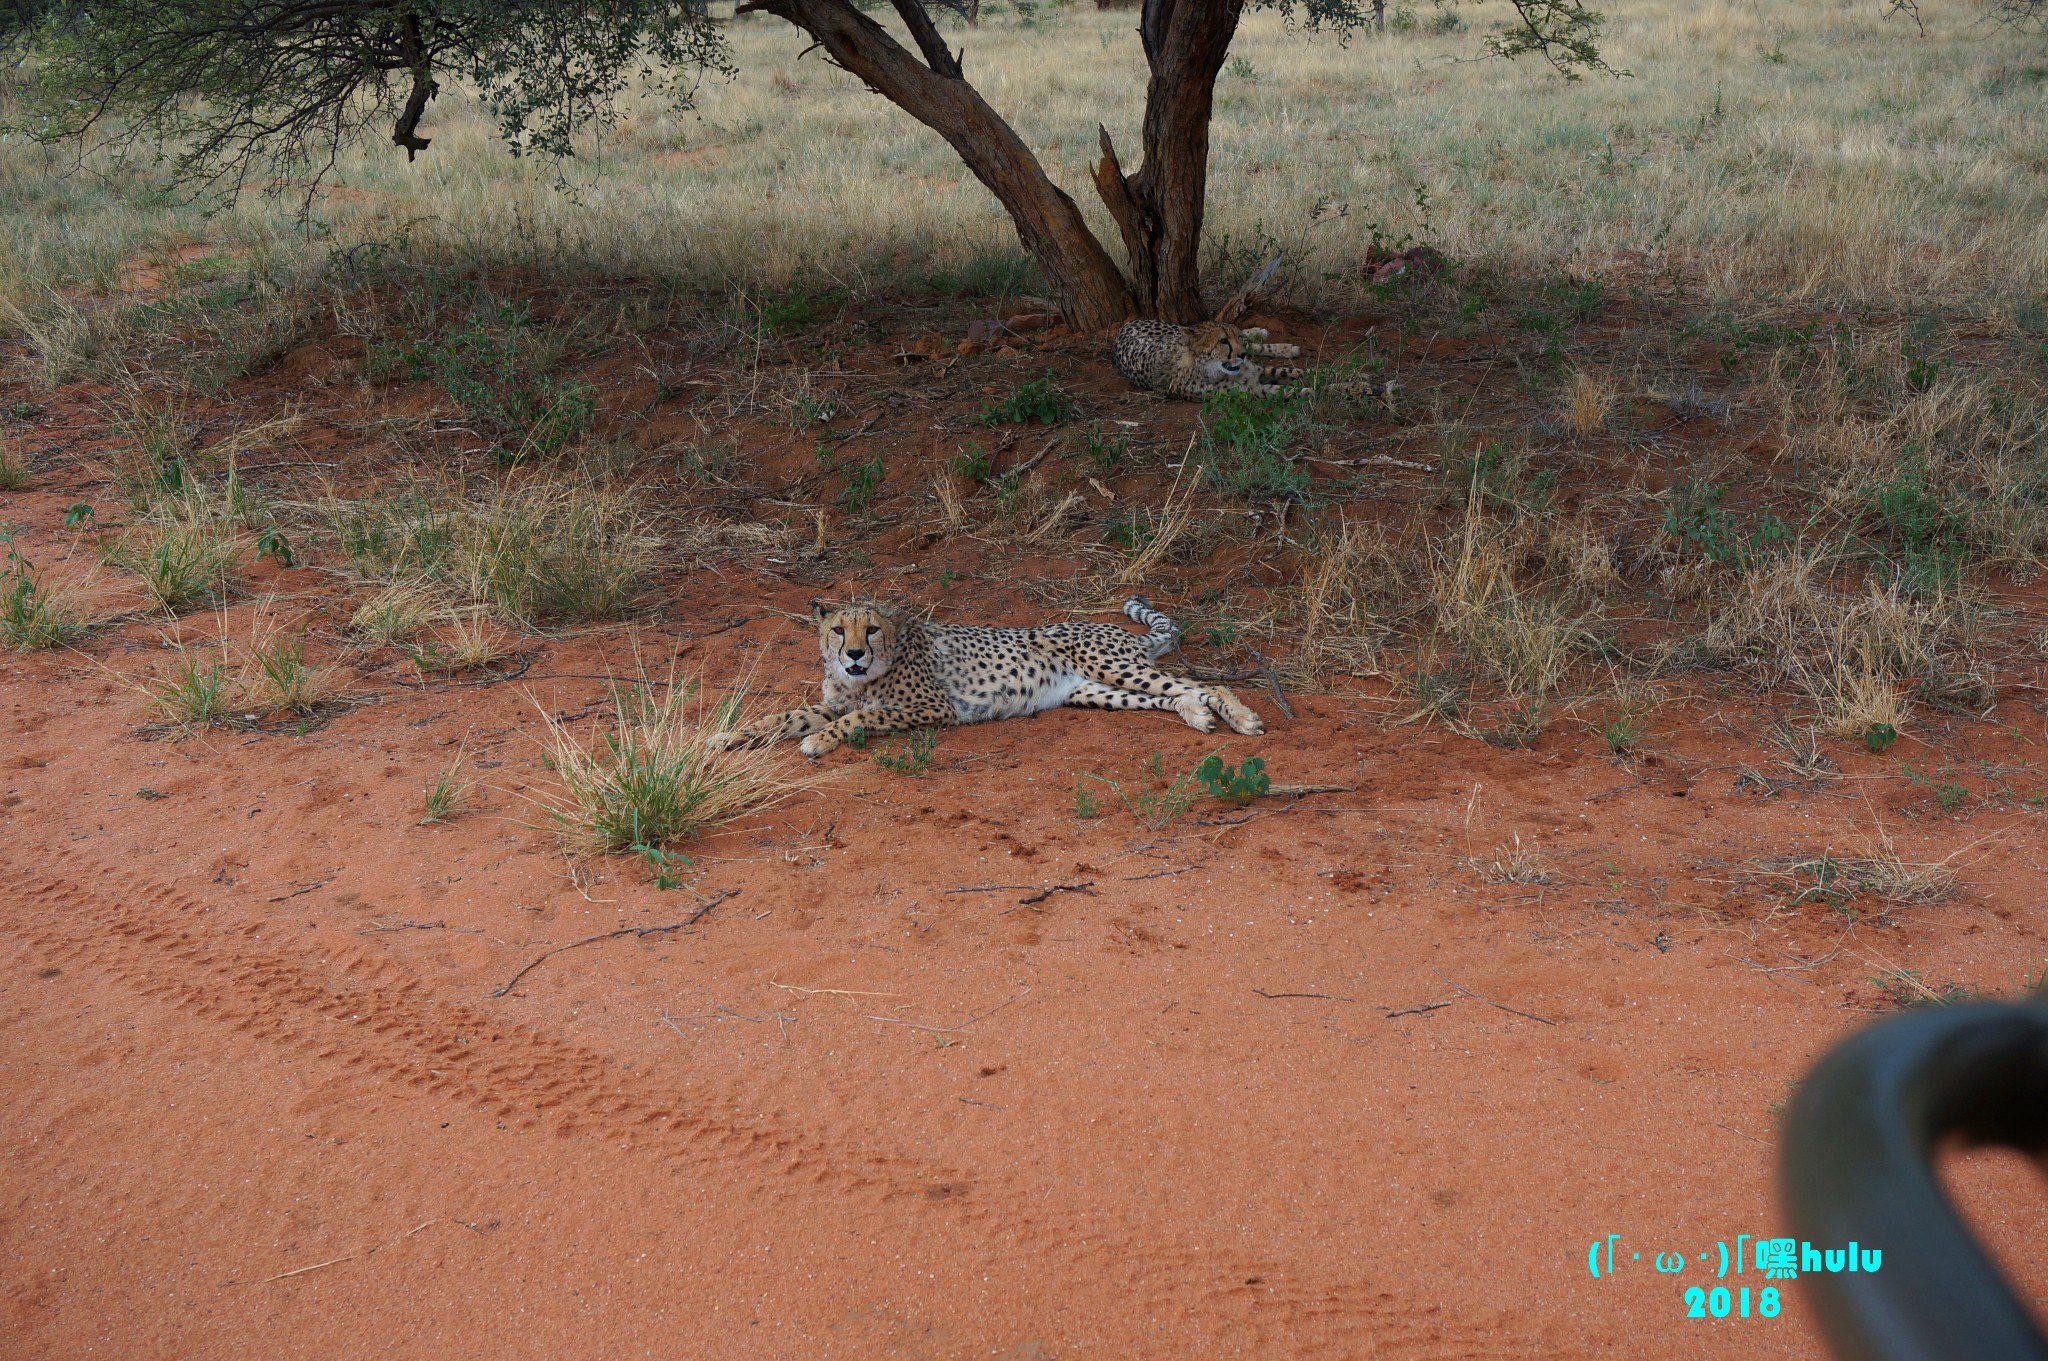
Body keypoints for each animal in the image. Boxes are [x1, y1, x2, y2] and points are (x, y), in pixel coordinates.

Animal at [712, 597, 1269, 757]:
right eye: (836, 630)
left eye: (870, 629)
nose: (852, 654)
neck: (861, 678)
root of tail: (1110, 625)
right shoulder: (832, 700)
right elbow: (784, 716)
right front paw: (728, 735)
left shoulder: (931, 707)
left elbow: (858, 719)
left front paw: (819, 742)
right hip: (1097, 691)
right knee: (1176, 695)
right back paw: (1196, 716)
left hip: (1111, 665)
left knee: (1210, 685)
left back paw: (1241, 719)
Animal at [1114, 315, 1400, 401]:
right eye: (1222, 341)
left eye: (1235, 336)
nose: (1240, 352)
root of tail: (1122, 329)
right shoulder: (1256, 392)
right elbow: (1305, 390)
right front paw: (1352, 388)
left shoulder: (1256, 370)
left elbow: (1295, 373)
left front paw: (1353, 378)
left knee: (1258, 346)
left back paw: (1272, 340)